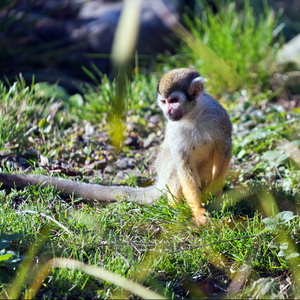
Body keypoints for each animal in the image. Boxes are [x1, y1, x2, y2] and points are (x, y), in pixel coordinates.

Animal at [0, 68, 232, 225]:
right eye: (164, 102)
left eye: (174, 100)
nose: (168, 112)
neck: (192, 116)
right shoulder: (176, 130)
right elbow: (183, 164)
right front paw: (198, 210)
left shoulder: (217, 114)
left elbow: (224, 148)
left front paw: (215, 192)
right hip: (167, 181)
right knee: (175, 167)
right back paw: (177, 206)